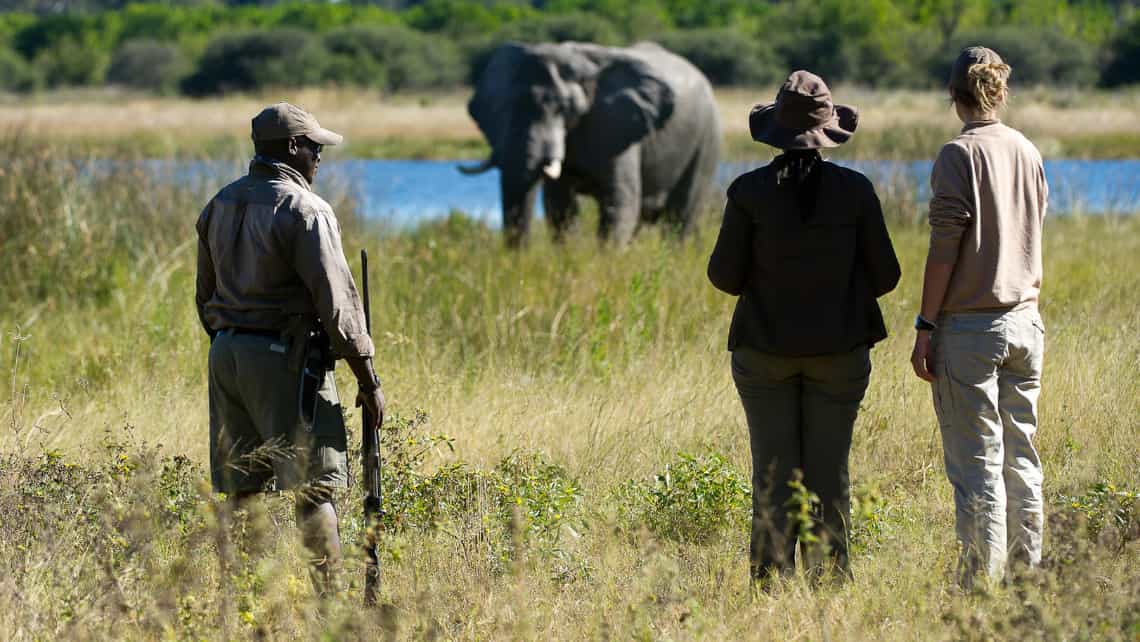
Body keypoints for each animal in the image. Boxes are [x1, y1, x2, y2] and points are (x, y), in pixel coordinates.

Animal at [456, 40, 715, 246]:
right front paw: (567, 256)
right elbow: (560, 207)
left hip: (706, 136)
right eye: (504, 109)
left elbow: (619, 202)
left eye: (564, 108)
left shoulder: (614, 125)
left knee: (680, 215)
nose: (518, 259)